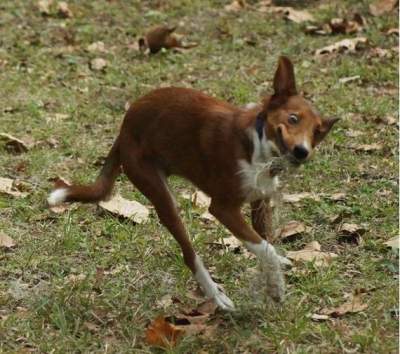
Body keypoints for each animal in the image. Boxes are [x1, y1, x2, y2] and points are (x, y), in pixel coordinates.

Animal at [48, 56, 340, 310]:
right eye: (293, 118)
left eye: (317, 134)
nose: (302, 152)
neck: (259, 149)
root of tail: (123, 132)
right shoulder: (223, 209)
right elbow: (264, 247)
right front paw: (277, 286)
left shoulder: (260, 202)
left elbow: (264, 245)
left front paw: (273, 279)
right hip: (161, 195)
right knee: (189, 254)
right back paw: (215, 295)